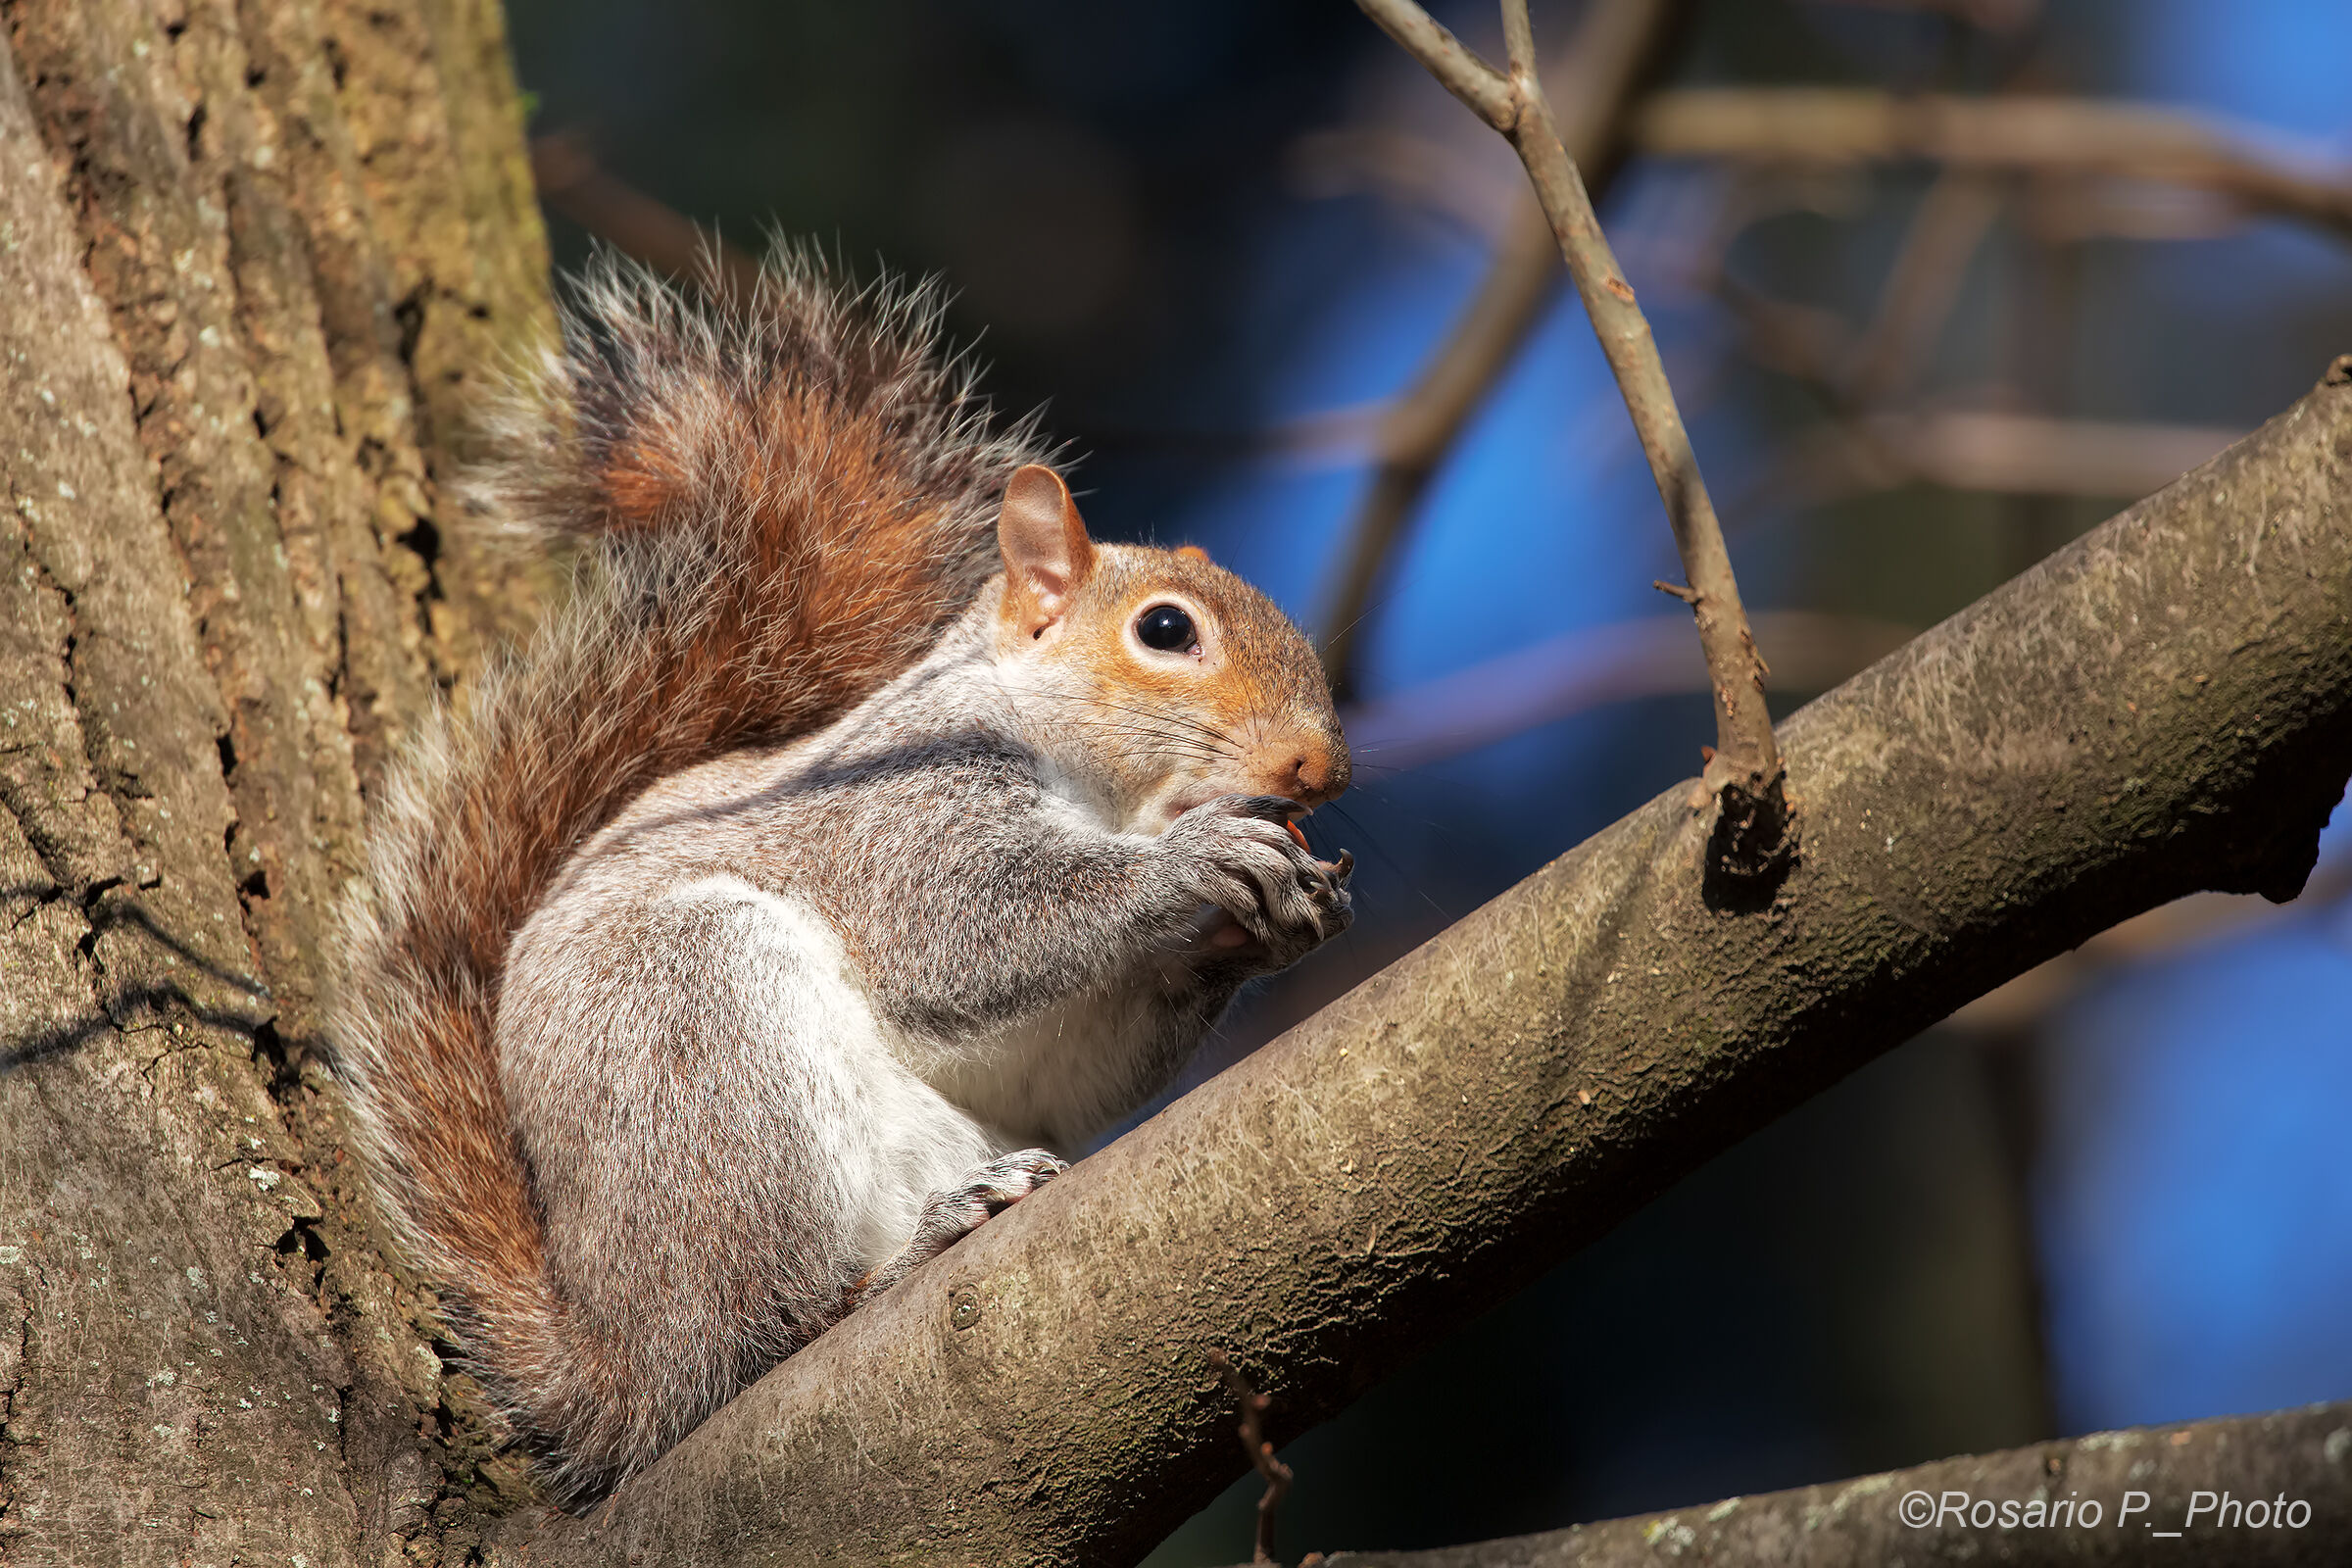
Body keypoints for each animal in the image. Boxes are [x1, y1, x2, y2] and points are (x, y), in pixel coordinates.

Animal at [331, 254, 1354, 1505]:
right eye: (1166, 631)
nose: (1319, 766)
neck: (1100, 790)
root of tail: (618, 1363)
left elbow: (1073, 1065)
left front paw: (1272, 922)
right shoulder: (899, 812)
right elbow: (966, 933)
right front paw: (1198, 862)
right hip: (697, 1045)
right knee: (757, 1334)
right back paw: (892, 1264)